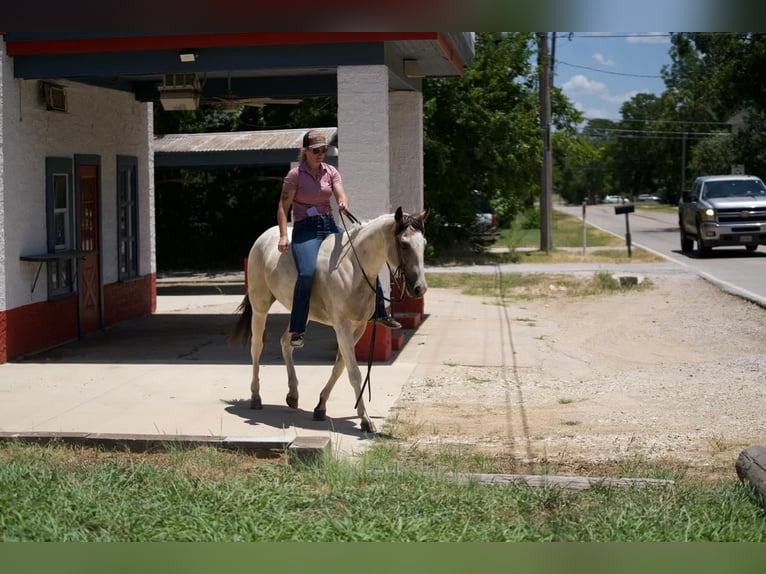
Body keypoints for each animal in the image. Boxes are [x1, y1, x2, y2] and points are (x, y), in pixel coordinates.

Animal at [228, 207, 432, 432]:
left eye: (423, 244)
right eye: (404, 244)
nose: (420, 288)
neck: (351, 267)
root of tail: (263, 238)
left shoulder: (358, 327)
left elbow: (339, 367)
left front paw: (321, 406)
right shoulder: (342, 326)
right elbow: (354, 372)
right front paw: (365, 420)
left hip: (302, 314)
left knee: (286, 343)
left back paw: (293, 394)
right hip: (260, 307)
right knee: (257, 347)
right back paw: (256, 396)